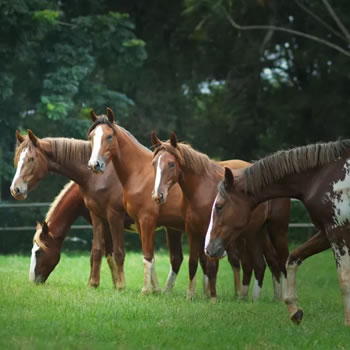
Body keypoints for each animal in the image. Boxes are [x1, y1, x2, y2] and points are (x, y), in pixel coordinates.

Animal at [9, 130, 183, 292]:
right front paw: (99, 283)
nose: (15, 189)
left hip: (173, 228)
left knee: (176, 258)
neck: (99, 178)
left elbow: (117, 252)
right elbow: (101, 252)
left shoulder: (114, 217)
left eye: (31, 159)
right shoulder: (100, 219)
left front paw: (120, 285)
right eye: (17, 159)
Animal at [152, 133, 292, 300]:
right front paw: (190, 296)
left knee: (281, 261)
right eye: (154, 164)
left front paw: (212, 297)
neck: (201, 190)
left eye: (172, 164)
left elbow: (212, 265)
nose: (158, 195)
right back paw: (253, 297)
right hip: (257, 233)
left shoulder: (212, 234)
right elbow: (193, 263)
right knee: (264, 263)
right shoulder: (193, 231)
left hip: (277, 231)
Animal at [202, 139, 350, 326]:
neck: (321, 177)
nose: (208, 248)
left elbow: (344, 278)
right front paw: (294, 310)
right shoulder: (325, 232)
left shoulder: (337, 230)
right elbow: (293, 258)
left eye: (219, 206)